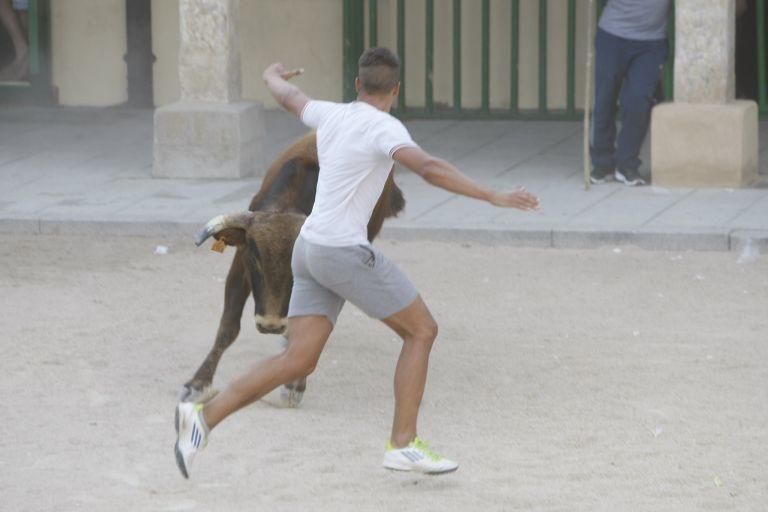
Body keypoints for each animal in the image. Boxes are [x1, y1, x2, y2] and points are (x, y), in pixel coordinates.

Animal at [182, 133, 404, 404]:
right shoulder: (239, 266)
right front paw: (198, 383)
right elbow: (228, 327)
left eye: (297, 265)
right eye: (255, 258)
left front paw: (295, 383)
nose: (271, 325)